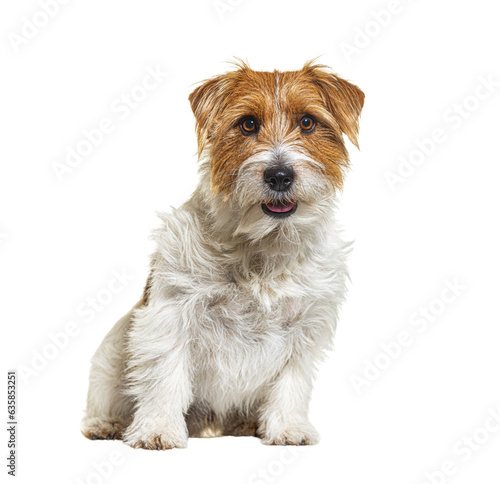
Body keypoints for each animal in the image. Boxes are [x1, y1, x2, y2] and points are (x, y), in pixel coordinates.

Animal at [81, 60, 364, 450]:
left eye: (307, 122)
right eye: (247, 124)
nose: (279, 175)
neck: (264, 244)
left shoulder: (306, 326)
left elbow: (291, 382)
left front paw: (287, 429)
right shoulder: (171, 316)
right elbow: (165, 376)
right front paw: (157, 429)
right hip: (109, 357)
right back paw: (105, 423)